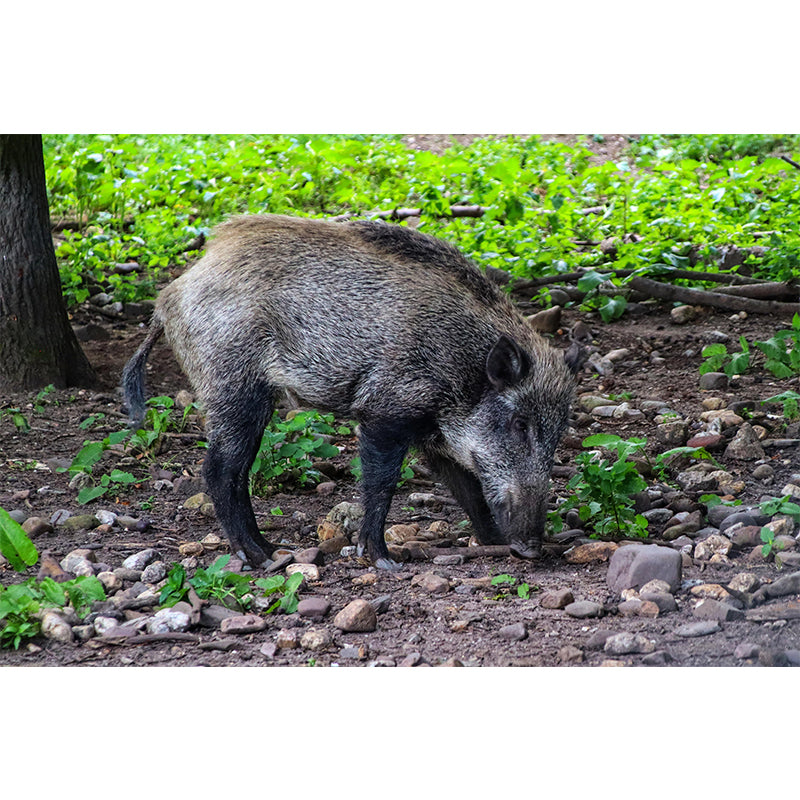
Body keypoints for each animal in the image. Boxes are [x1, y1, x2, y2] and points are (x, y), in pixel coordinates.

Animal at [122, 214, 583, 570]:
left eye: (558, 434)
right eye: (520, 424)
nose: (532, 549)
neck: (462, 367)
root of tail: (168, 297)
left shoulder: (435, 437)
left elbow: (468, 488)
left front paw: (493, 543)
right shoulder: (386, 411)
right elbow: (381, 483)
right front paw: (382, 559)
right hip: (234, 387)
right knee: (221, 471)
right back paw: (262, 556)